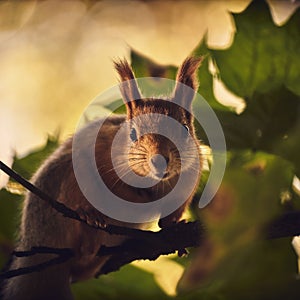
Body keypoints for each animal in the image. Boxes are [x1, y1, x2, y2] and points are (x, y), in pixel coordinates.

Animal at [1, 55, 202, 298]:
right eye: (132, 133)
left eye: (185, 129)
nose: (159, 160)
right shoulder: (90, 151)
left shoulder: (190, 178)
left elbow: (169, 216)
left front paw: (174, 225)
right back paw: (89, 227)